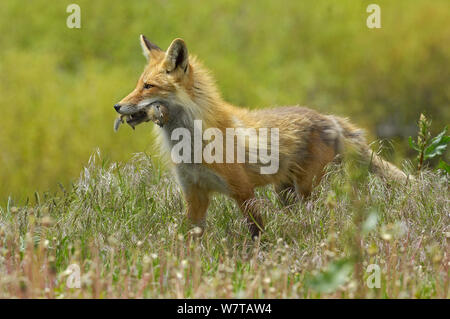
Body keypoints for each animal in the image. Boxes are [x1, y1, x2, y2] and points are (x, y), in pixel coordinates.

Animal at [113, 36, 408, 239]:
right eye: (137, 85)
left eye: (148, 86)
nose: (117, 106)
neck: (193, 145)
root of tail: (328, 117)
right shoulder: (195, 195)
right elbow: (190, 237)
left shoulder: (244, 191)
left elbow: (258, 234)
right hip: (285, 193)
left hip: (306, 190)